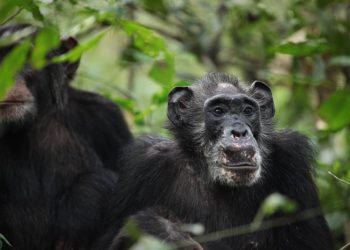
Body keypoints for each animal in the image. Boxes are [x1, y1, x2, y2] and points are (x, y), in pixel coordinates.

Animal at [98, 73, 330, 250]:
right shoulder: (144, 165)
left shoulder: (292, 161)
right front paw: (164, 230)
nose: (239, 131)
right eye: (219, 111)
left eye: (247, 110)